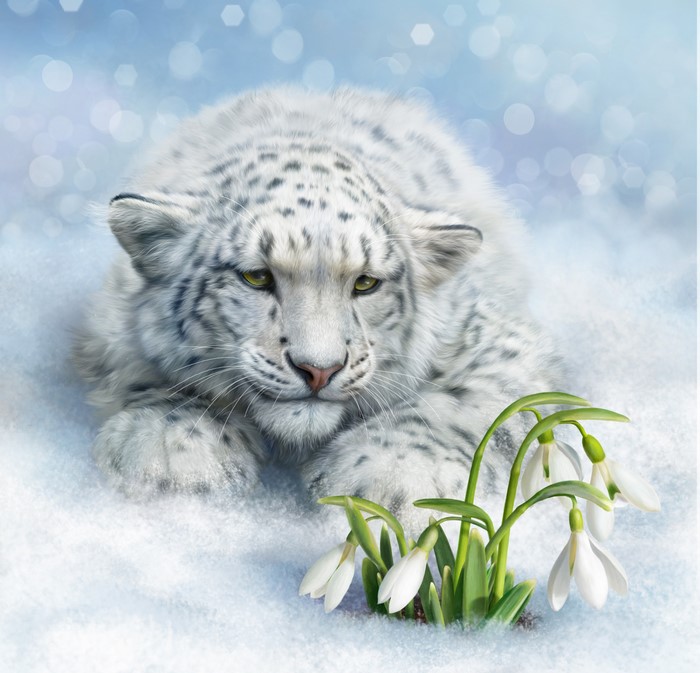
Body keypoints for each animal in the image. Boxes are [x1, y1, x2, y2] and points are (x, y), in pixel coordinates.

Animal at [73, 86, 560, 517]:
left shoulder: (498, 344)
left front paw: (391, 475)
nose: (319, 369)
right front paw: (174, 450)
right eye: (257, 277)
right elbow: (152, 376)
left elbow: (462, 403)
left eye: (365, 283)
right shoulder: (107, 325)